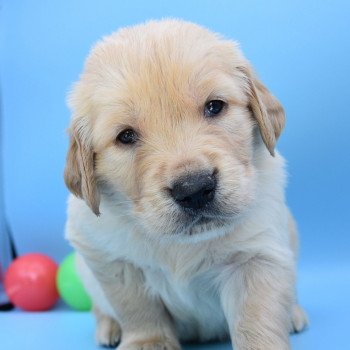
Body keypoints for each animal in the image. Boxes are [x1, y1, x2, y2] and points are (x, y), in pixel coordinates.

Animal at [64, 19, 308, 350]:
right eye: (126, 136)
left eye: (214, 107)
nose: (194, 189)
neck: (183, 243)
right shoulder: (108, 258)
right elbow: (137, 308)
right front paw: (148, 342)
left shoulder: (257, 255)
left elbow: (257, 320)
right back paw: (108, 327)